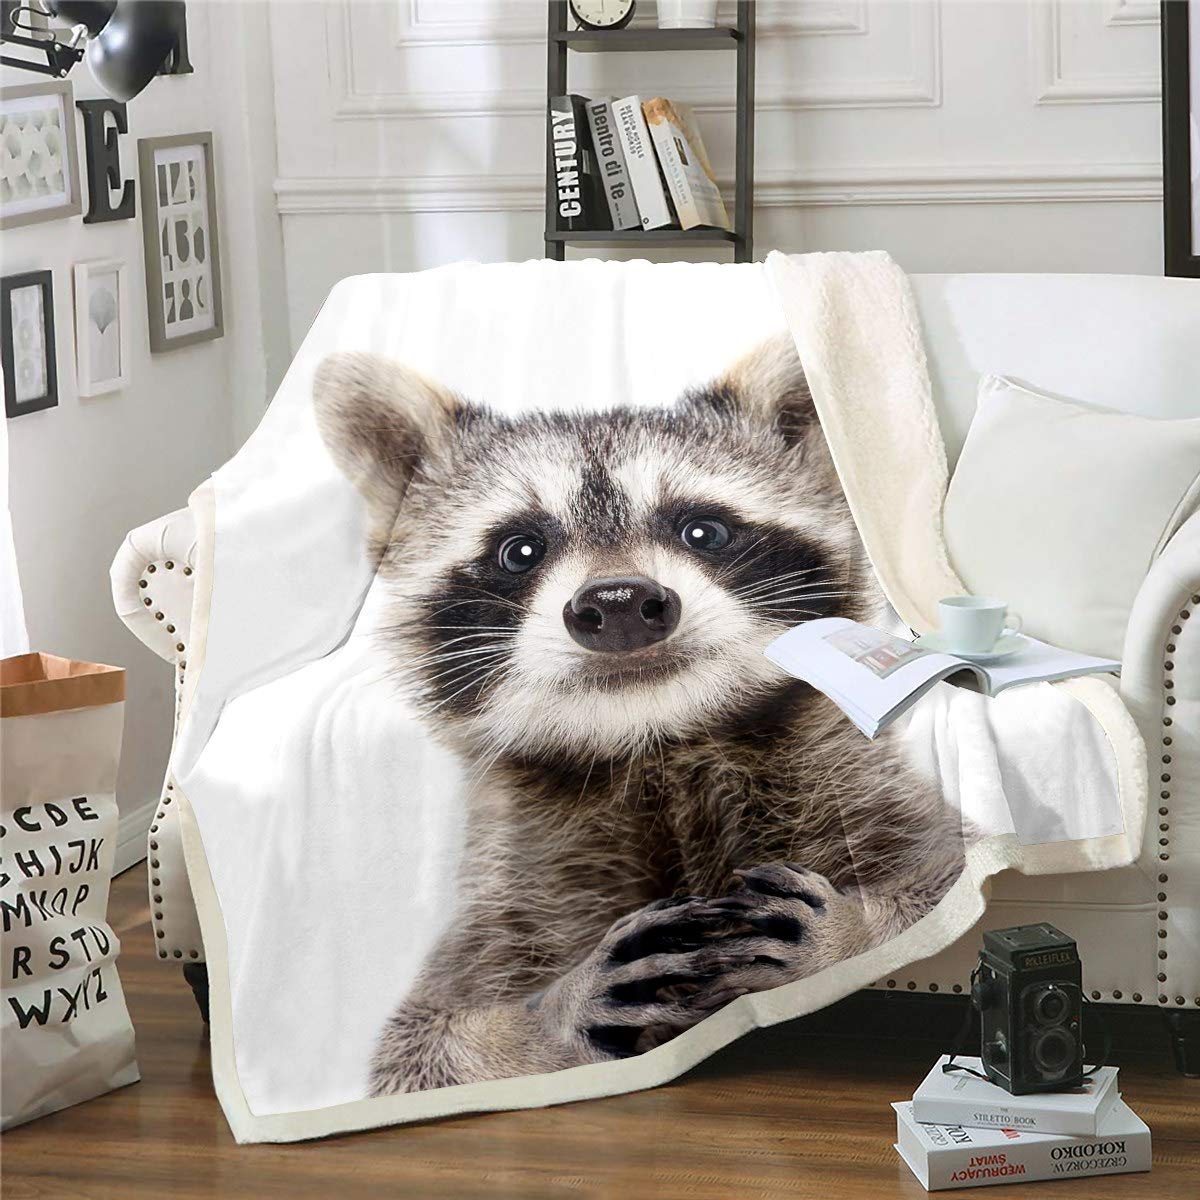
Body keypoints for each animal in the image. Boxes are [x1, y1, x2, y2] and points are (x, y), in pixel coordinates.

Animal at [313, 334, 968, 1098]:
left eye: (702, 529)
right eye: (520, 550)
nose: (620, 602)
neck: (656, 741)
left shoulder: (867, 801)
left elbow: (942, 884)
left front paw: (854, 930)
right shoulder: (510, 901)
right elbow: (417, 1050)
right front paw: (542, 1022)